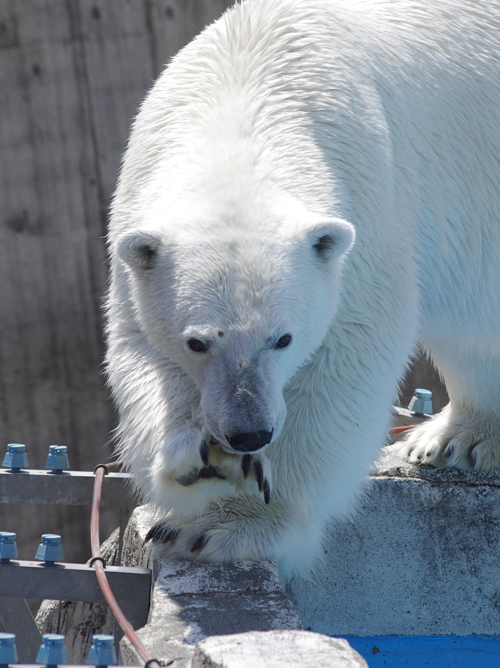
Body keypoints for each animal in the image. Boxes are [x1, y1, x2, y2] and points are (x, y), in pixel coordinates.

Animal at [105, 0, 500, 576]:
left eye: (283, 339)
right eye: (197, 341)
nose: (249, 432)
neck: (242, 96)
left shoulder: (366, 210)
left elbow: (346, 359)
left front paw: (225, 524)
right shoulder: (135, 222)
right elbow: (143, 357)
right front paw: (193, 463)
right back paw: (459, 438)